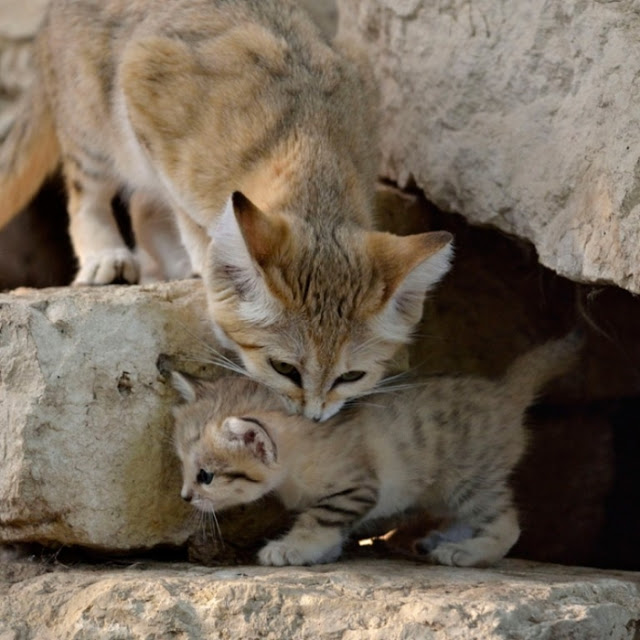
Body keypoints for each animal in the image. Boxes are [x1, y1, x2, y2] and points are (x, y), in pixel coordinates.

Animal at [0, 0, 452, 422]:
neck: (309, 143)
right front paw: (209, 262)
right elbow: (186, 214)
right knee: (88, 193)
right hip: (92, 120)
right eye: (284, 368)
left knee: (142, 205)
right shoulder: (143, 84)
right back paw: (106, 256)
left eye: (351, 376)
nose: (313, 416)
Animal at [172, 332, 584, 568]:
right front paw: (322, 552)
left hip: (468, 480)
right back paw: (443, 539)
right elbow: (329, 527)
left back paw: (466, 553)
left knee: (507, 524)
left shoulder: (355, 489)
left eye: (206, 476)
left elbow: (317, 521)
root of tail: (503, 392)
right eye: (183, 467)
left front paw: (293, 549)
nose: (185, 496)